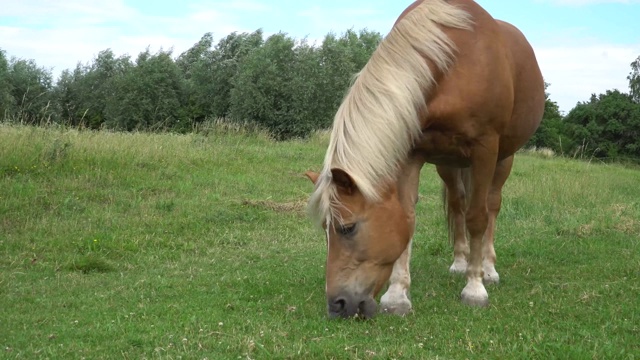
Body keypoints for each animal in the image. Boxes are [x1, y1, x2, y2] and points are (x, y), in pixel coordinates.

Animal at [306, 0, 544, 320]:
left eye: (348, 228)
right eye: (325, 230)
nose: (337, 305)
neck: (453, 63)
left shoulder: (485, 148)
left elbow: (478, 217)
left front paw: (475, 288)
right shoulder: (412, 152)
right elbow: (408, 217)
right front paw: (397, 296)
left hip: (503, 158)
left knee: (491, 206)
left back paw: (488, 268)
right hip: (448, 163)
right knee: (457, 203)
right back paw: (460, 262)